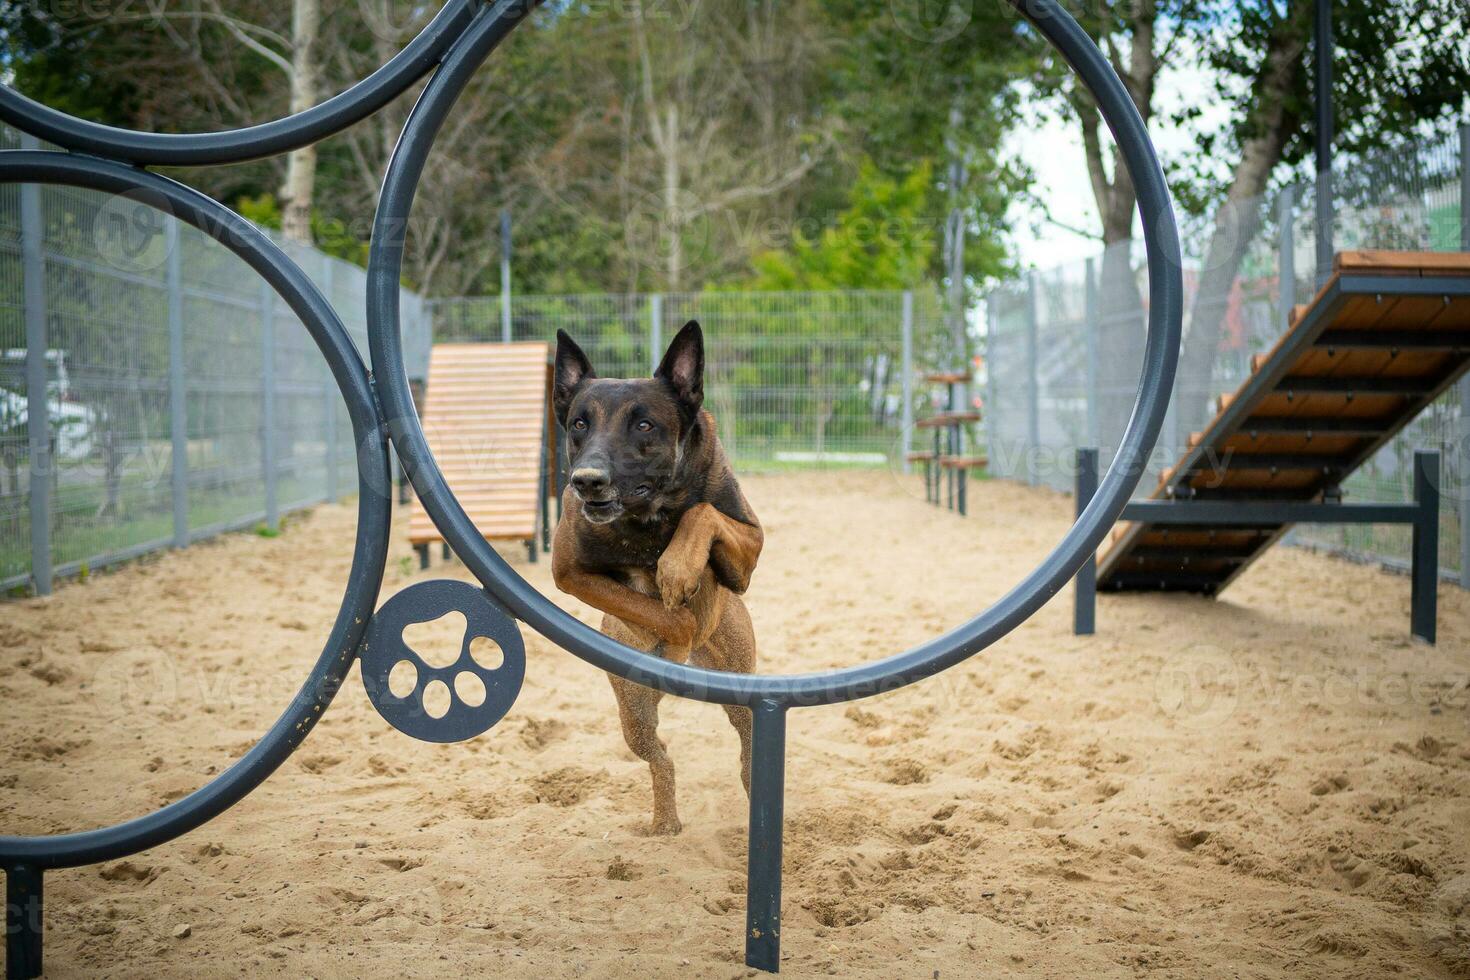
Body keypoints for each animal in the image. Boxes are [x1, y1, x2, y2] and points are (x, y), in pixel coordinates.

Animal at [549, 321, 758, 834]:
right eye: (579, 424)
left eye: (644, 425)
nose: (586, 480)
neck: (651, 513)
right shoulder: (570, 570)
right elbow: (662, 612)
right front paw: (673, 622)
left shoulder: (750, 546)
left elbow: (703, 514)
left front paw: (677, 568)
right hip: (635, 713)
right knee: (661, 757)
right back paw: (665, 822)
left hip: (740, 685)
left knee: (747, 745)